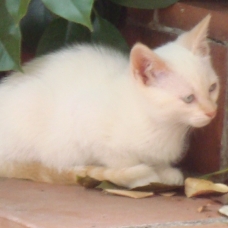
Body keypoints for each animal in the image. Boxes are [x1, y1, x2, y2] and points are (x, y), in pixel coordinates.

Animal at [0, 15, 219, 188]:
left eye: (212, 88)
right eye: (188, 98)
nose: (212, 112)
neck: (164, 125)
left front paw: (164, 170)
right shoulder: (86, 120)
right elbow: (121, 160)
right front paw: (140, 177)